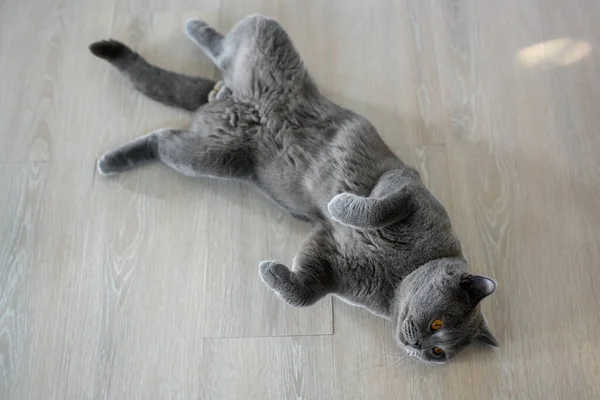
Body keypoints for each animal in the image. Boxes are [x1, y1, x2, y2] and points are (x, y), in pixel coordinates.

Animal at [89, 14, 500, 364]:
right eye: (437, 324)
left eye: (439, 352)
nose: (419, 345)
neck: (399, 274)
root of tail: (222, 97)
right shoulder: (407, 187)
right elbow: (377, 208)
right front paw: (338, 206)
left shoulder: (329, 260)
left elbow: (305, 292)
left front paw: (271, 271)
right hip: (267, 42)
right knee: (227, 45)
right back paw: (194, 26)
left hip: (214, 156)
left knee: (165, 139)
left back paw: (113, 160)